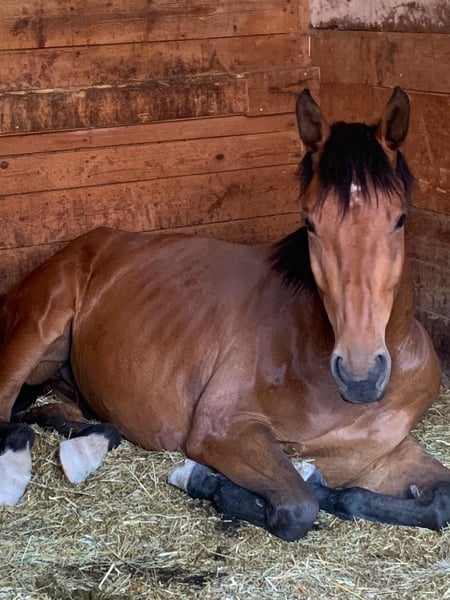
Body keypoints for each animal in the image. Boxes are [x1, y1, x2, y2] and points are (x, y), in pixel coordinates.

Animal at [1, 87, 449, 541]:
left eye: (400, 218)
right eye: (309, 223)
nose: (360, 377)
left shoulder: (382, 454)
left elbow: (438, 501)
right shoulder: (222, 430)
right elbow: (298, 505)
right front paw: (203, 479)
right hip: (32, 336)